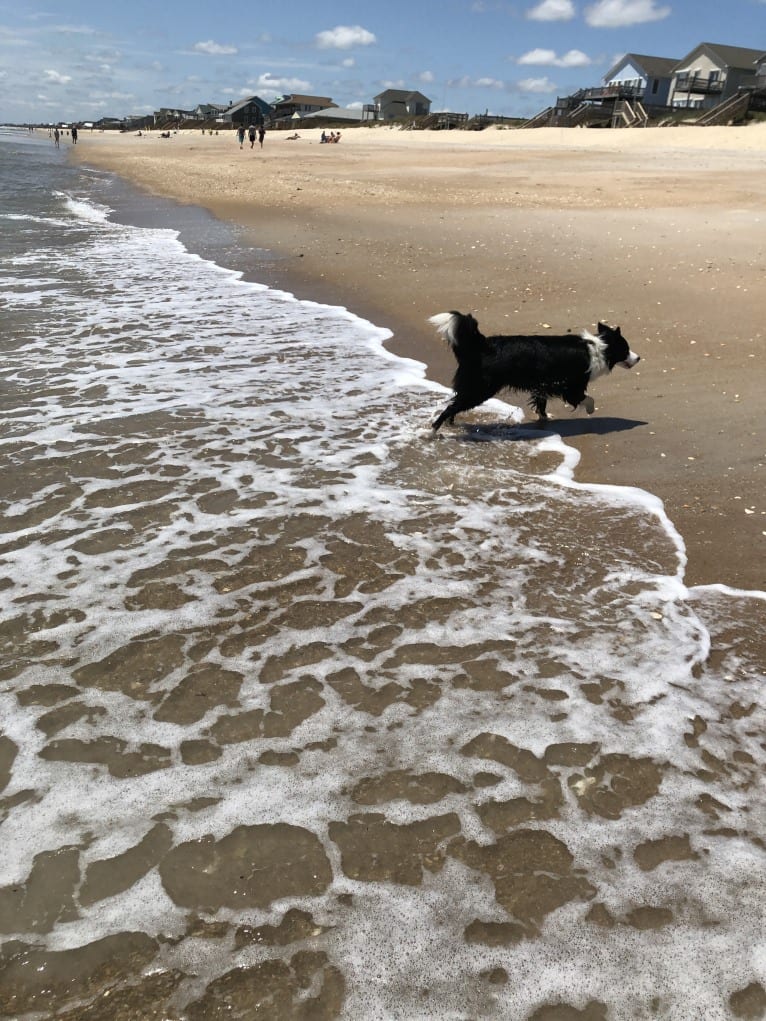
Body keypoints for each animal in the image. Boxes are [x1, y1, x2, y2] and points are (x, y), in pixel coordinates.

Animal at [433, 314, 641, 434]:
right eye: (625, 349)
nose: (639, 358)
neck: (601, 348)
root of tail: (483, 345)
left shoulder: (543, 385)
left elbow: (541, 404)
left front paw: (544, 418)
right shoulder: (570, 386)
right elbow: (587, 399)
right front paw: (589, 410)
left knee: (455, 405)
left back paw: (451, 426)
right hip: (481, 388)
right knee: (451, 407)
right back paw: (433, 431)